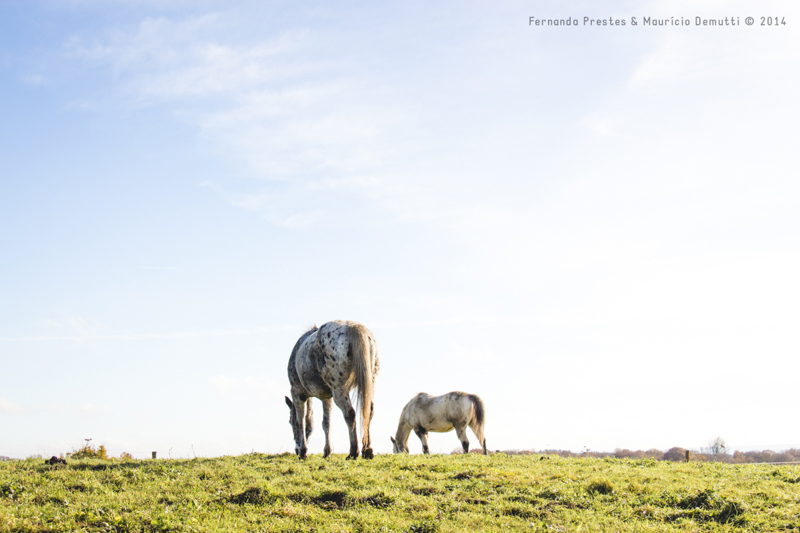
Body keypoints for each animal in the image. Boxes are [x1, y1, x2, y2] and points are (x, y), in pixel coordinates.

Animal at [282, 318, 380, 460]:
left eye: (290, 422)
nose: (296, 449)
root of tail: (353, 327)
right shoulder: (326, 398)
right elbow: (326, 423)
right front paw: (327, 452)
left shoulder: (297, 394)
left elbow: (301, 420)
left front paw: (303, 452)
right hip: (370, 384)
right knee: (368, 411)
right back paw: (367, 450)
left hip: (339, 390)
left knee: (350, 414)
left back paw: (353, 452)